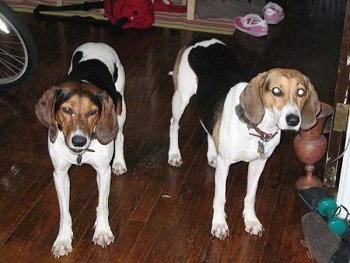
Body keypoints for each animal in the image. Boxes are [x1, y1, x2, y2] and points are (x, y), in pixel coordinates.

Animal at [168, 37, 322, 241]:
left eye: (301, 92)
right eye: (276, 91)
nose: (293, 120)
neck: (257, 130)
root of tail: (199, 40)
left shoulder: (259, 164)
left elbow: (250, 196)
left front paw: (251, 220)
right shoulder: (225, 165)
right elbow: (220, 197)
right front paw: (219, 224)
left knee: (208, 127)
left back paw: (212, 154)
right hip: (181, 98)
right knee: (173, 124)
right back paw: (174, 154)